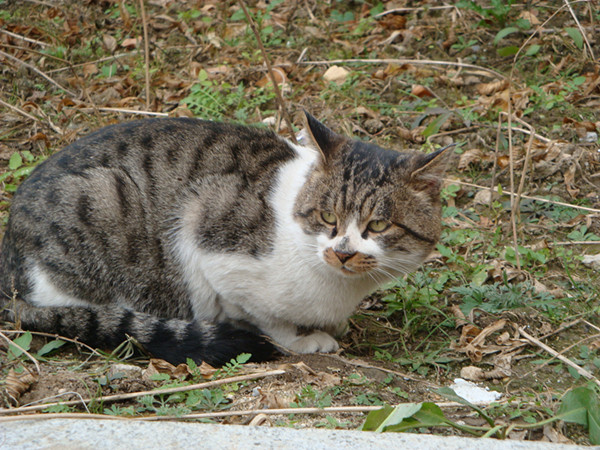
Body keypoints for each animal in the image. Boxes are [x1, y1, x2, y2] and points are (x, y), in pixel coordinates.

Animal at [0, 111, 450, 366]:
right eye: (327, 217)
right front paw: (304, 339)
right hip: (103, 197)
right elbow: (268, 321)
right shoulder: (209, 236)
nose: (342, 253)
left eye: (378, 226)